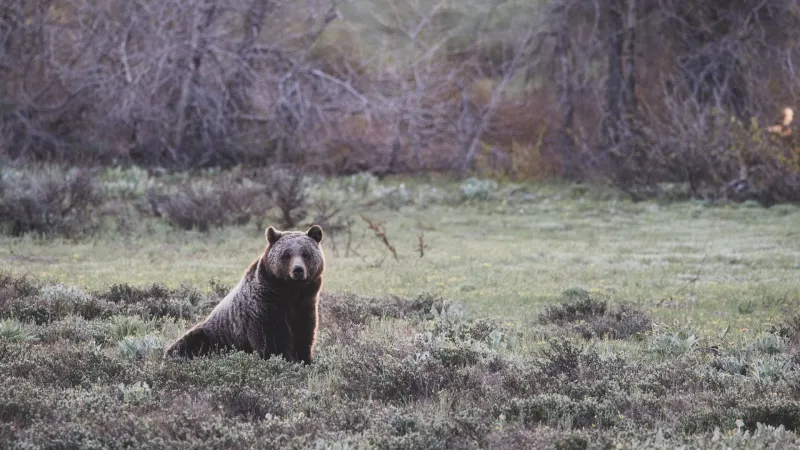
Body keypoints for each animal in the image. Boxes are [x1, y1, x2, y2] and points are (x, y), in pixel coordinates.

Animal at [164, 225, 325, 363]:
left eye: (305, 254)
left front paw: (305, 360)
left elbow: (304, 336)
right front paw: (287, 360)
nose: (298, 270)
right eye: (287, 254)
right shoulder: (264, 308)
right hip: (213, 336)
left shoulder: (304, 305)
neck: (290, 292)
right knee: (187, 344)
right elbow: (273, 341)